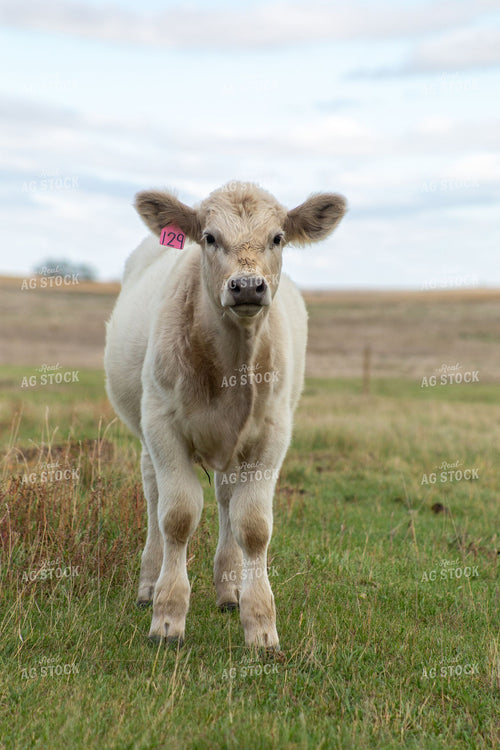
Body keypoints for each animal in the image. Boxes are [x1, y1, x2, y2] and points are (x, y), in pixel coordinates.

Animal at [104, 181, 346, 650]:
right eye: (210, 237)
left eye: (278, 237)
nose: (247, 286)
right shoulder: (163, 426)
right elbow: (177, 516)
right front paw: (167, 618)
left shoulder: (271, 435)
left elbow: (252, 524)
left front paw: (260, 624)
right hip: (146, 433)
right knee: (154, 496)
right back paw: (148, 583)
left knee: (225, 499)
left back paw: (229, 589)